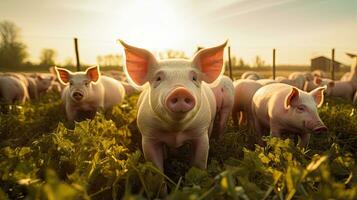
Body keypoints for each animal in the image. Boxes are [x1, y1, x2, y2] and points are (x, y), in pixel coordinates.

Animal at [119, 39, 225, 171]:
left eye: (194, 78)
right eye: (158, 78)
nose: (180, 90)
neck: (176, 130)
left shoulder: (201, 132)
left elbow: (199, 163)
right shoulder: (148, 135)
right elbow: (155, 166)